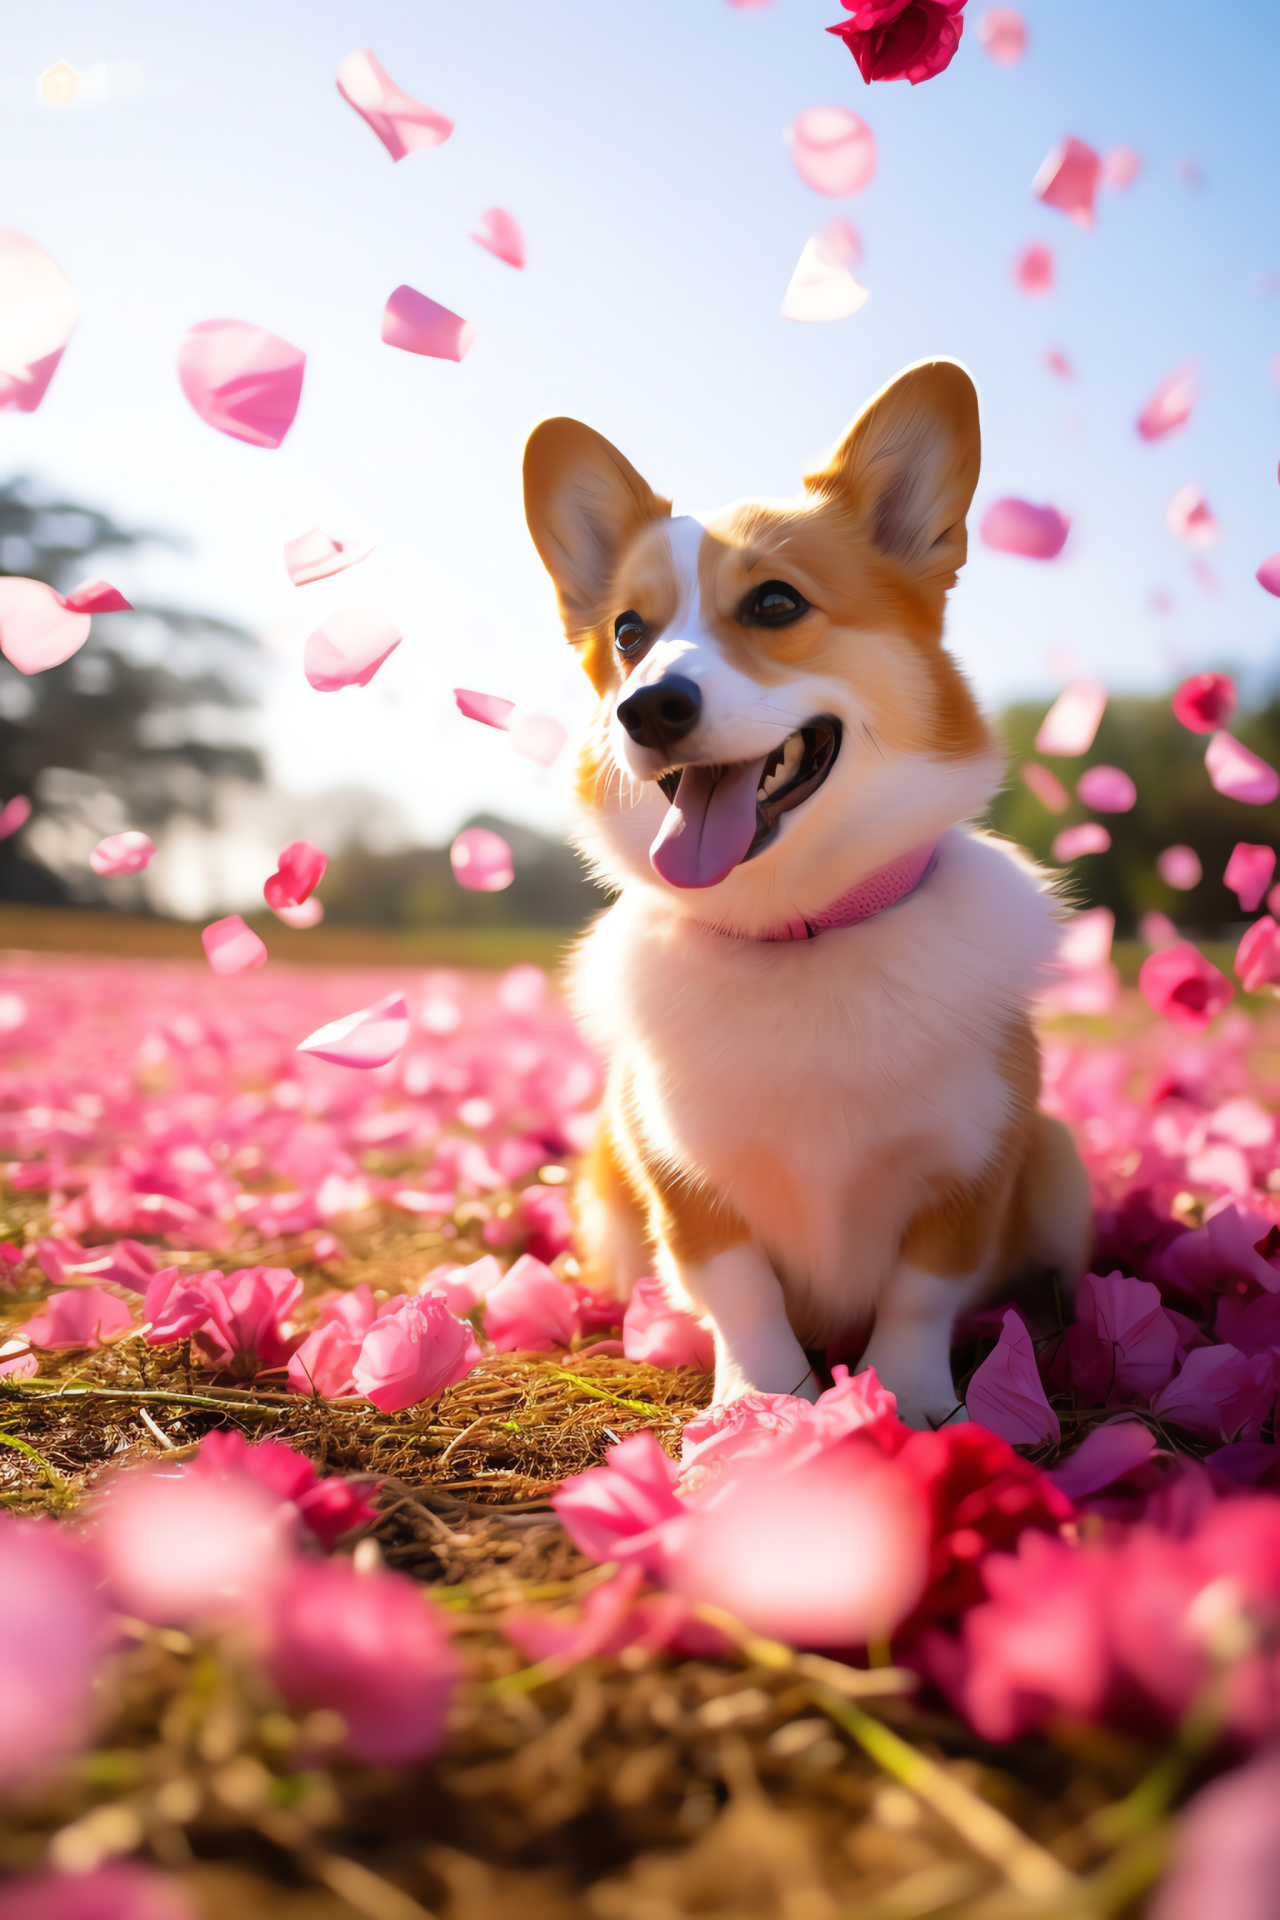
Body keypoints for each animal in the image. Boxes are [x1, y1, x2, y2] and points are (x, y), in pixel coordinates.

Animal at [521, 360, 1090, 1428]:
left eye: (777, 604)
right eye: (629, 632)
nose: (647, 708)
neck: (798, 927)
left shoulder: (972, 1165)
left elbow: (920, 1294)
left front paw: (912, 1403)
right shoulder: (681, 1178)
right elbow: (740, 1294)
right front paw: (766, 1405)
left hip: (1062, 1166)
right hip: (602, 1191)